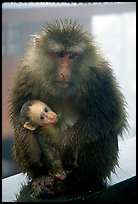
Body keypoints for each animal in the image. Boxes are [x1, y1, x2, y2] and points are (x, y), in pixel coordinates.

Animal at [8, 19, 127, 198]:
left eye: (72, 56)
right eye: (59, 54)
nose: (64, 73)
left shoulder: (100, 77)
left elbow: (109, 116)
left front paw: (68, 144)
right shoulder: (27, 72)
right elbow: (18, 112)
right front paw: (29, 144)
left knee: (102, 136)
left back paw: (78, 181)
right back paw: (40, 177)